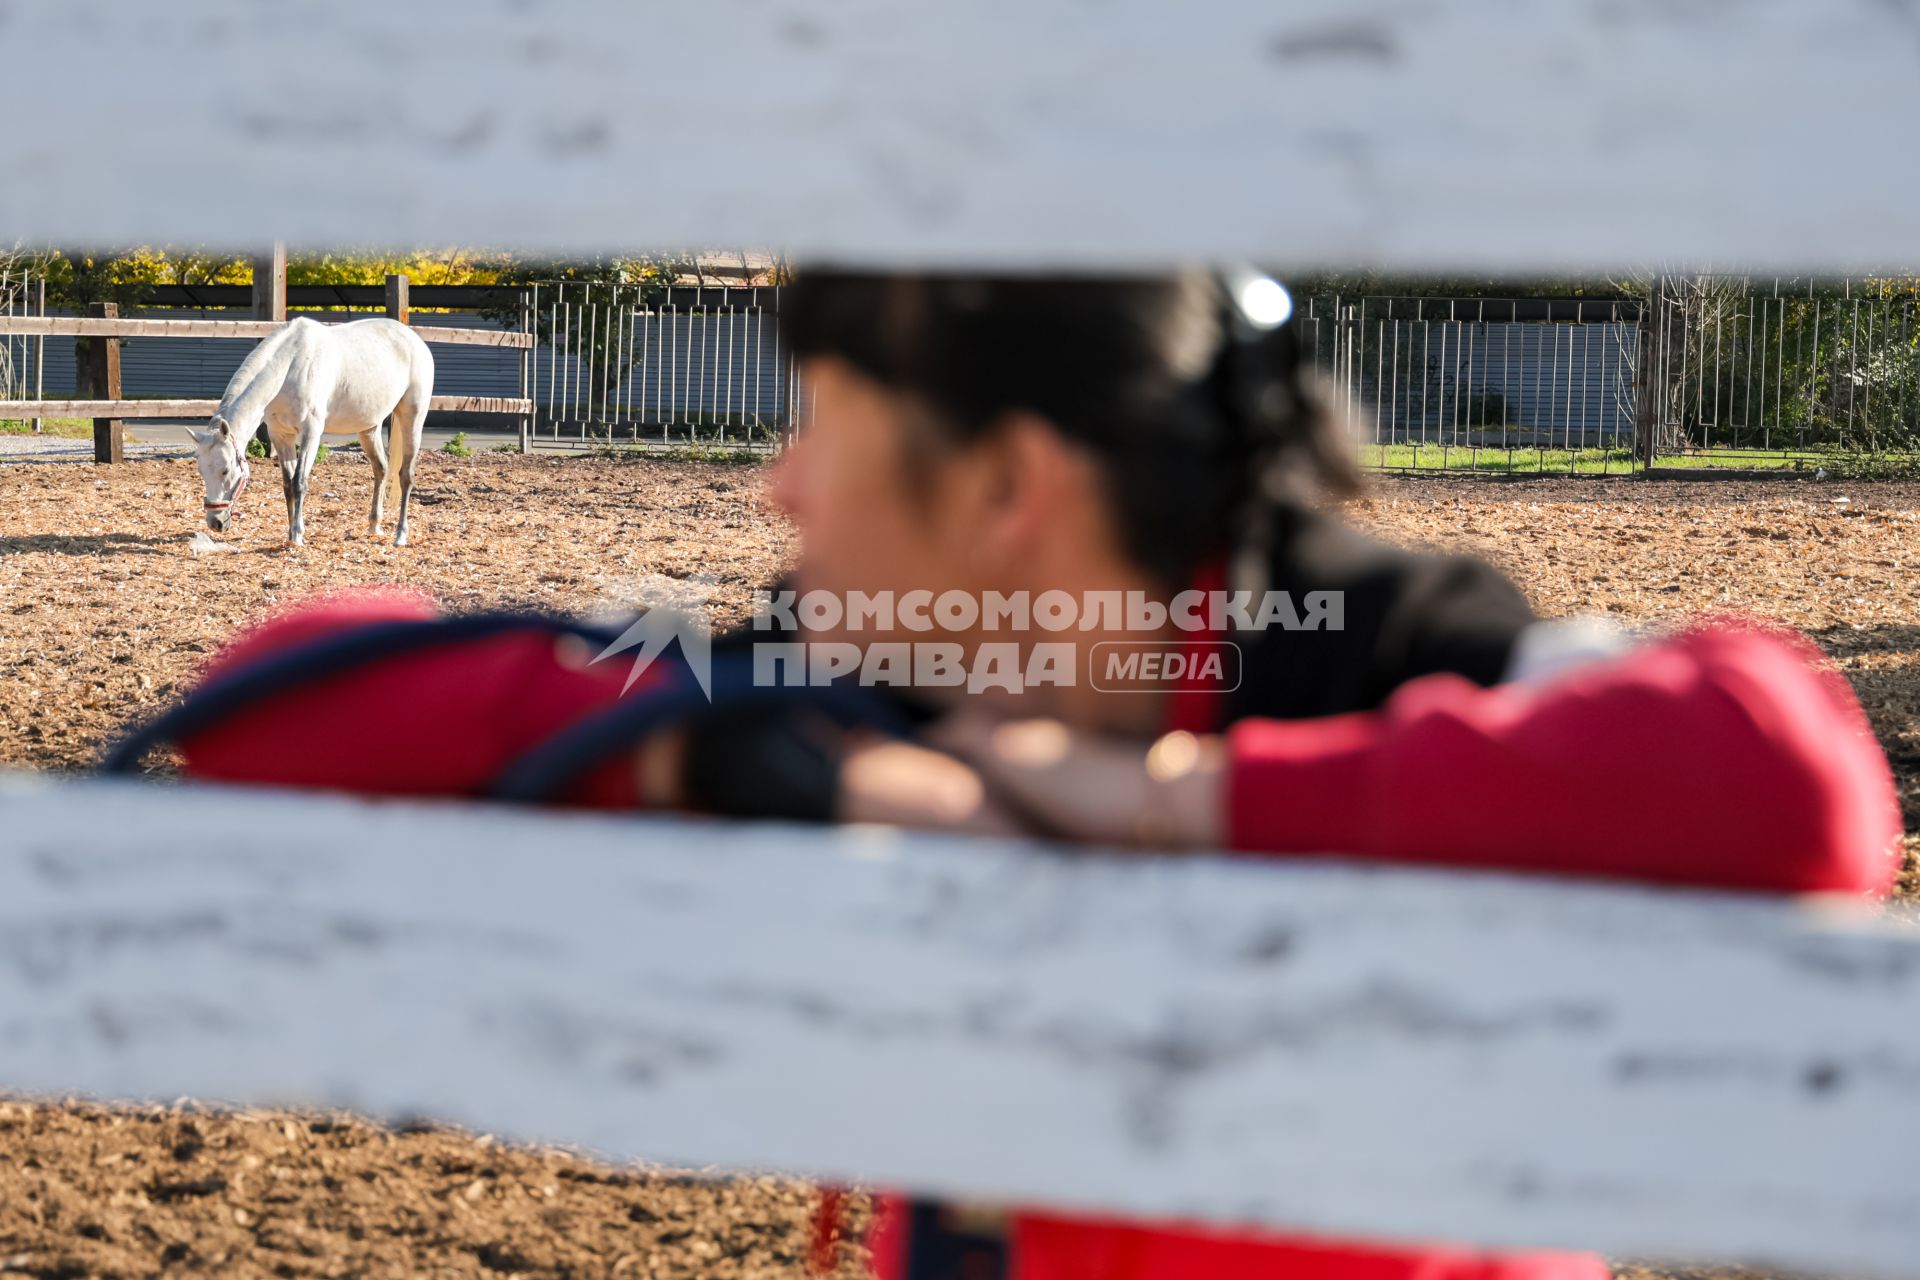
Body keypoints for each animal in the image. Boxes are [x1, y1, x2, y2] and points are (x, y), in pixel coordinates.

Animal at [189, 318, 433, 545]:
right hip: (368, 428)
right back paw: (375, 525)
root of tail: (413, 339)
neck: (289, 367)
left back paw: (400, 535)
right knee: (381, 469)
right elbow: (288, 484)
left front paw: (297, 535)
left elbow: (299, 482)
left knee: (406, 476)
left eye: (225, 471)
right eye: (201, 471)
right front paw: (291, 533)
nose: (215, 522)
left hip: (412, 418)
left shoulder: (311, 433)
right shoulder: (281, 435)